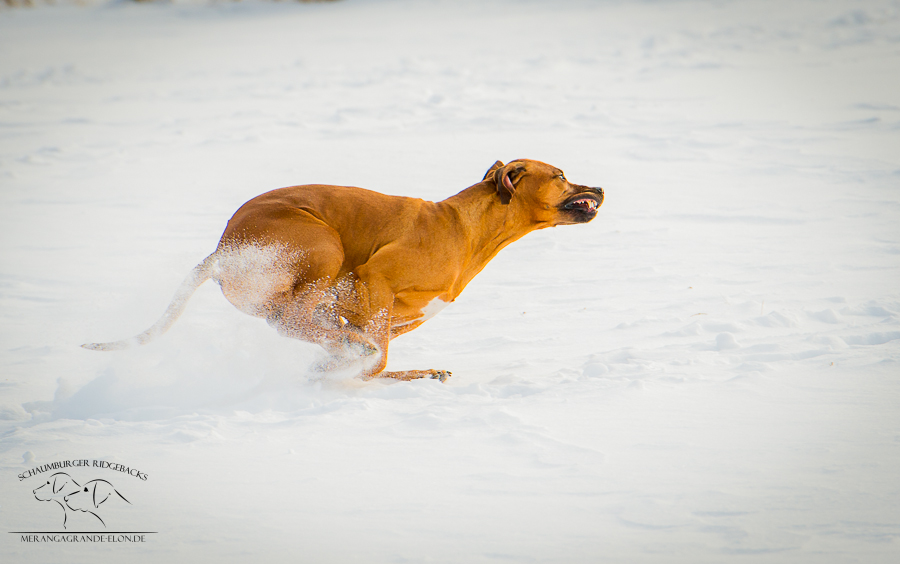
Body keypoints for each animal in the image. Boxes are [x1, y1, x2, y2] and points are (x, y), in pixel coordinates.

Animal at [84, 156, 604, 382]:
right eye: (560, 175)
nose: (599, 187)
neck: (466, 226)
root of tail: (221, 250)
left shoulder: (398, 315)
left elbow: (367, 346)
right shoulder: (374, 280)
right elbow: (374, 357)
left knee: (297, 321)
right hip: (320, 243)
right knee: (298, 317)